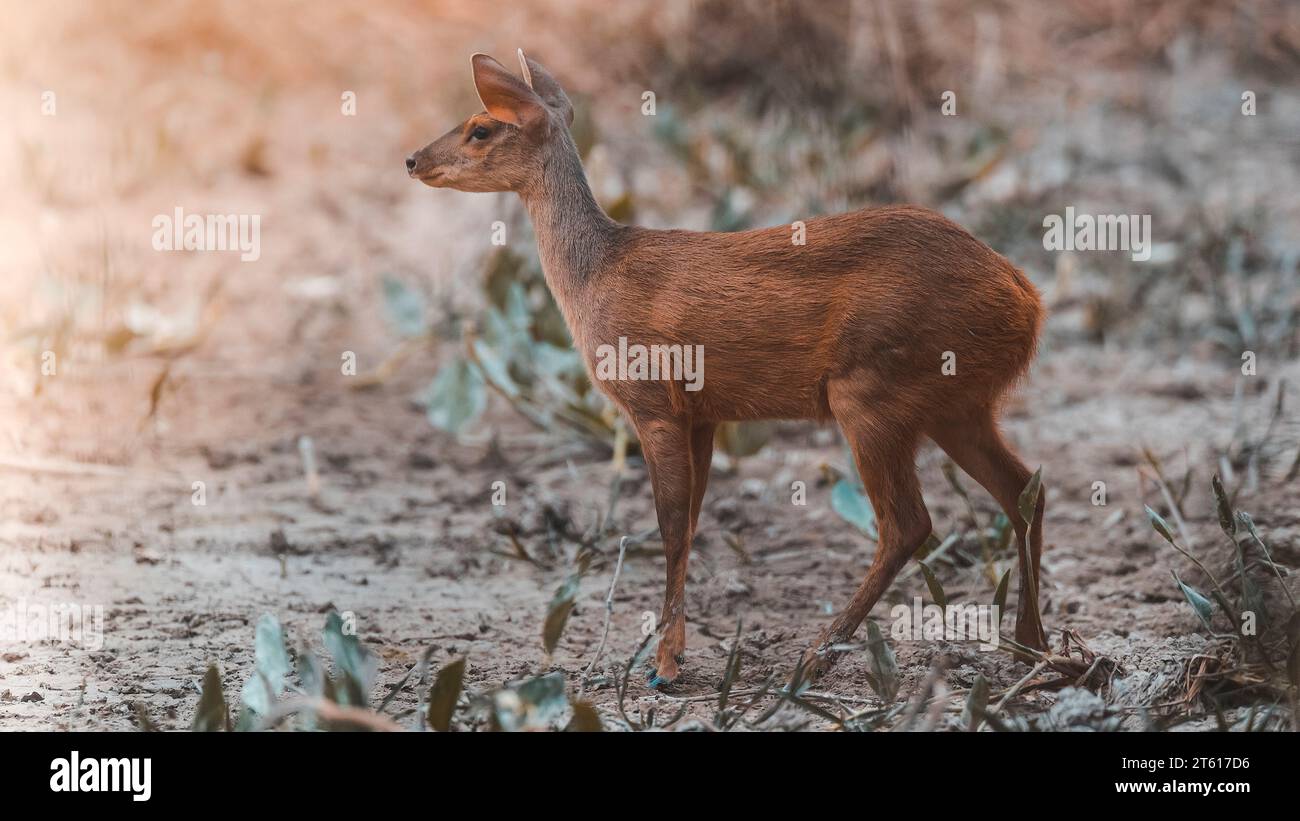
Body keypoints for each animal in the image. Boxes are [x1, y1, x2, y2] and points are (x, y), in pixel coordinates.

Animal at [410, 51, 1050, 691]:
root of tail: (1027, 299)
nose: (413, 159)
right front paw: (672, 653)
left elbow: (670, 527)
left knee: (909, 524)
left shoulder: (652, 403)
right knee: (1023, 489)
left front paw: (664, 666)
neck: (598, 276)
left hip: (870, 389)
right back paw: (1033, 646)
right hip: (955, 404)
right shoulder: (702, 414)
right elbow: (693, 522)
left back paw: (816, 656)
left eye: (480, 128)